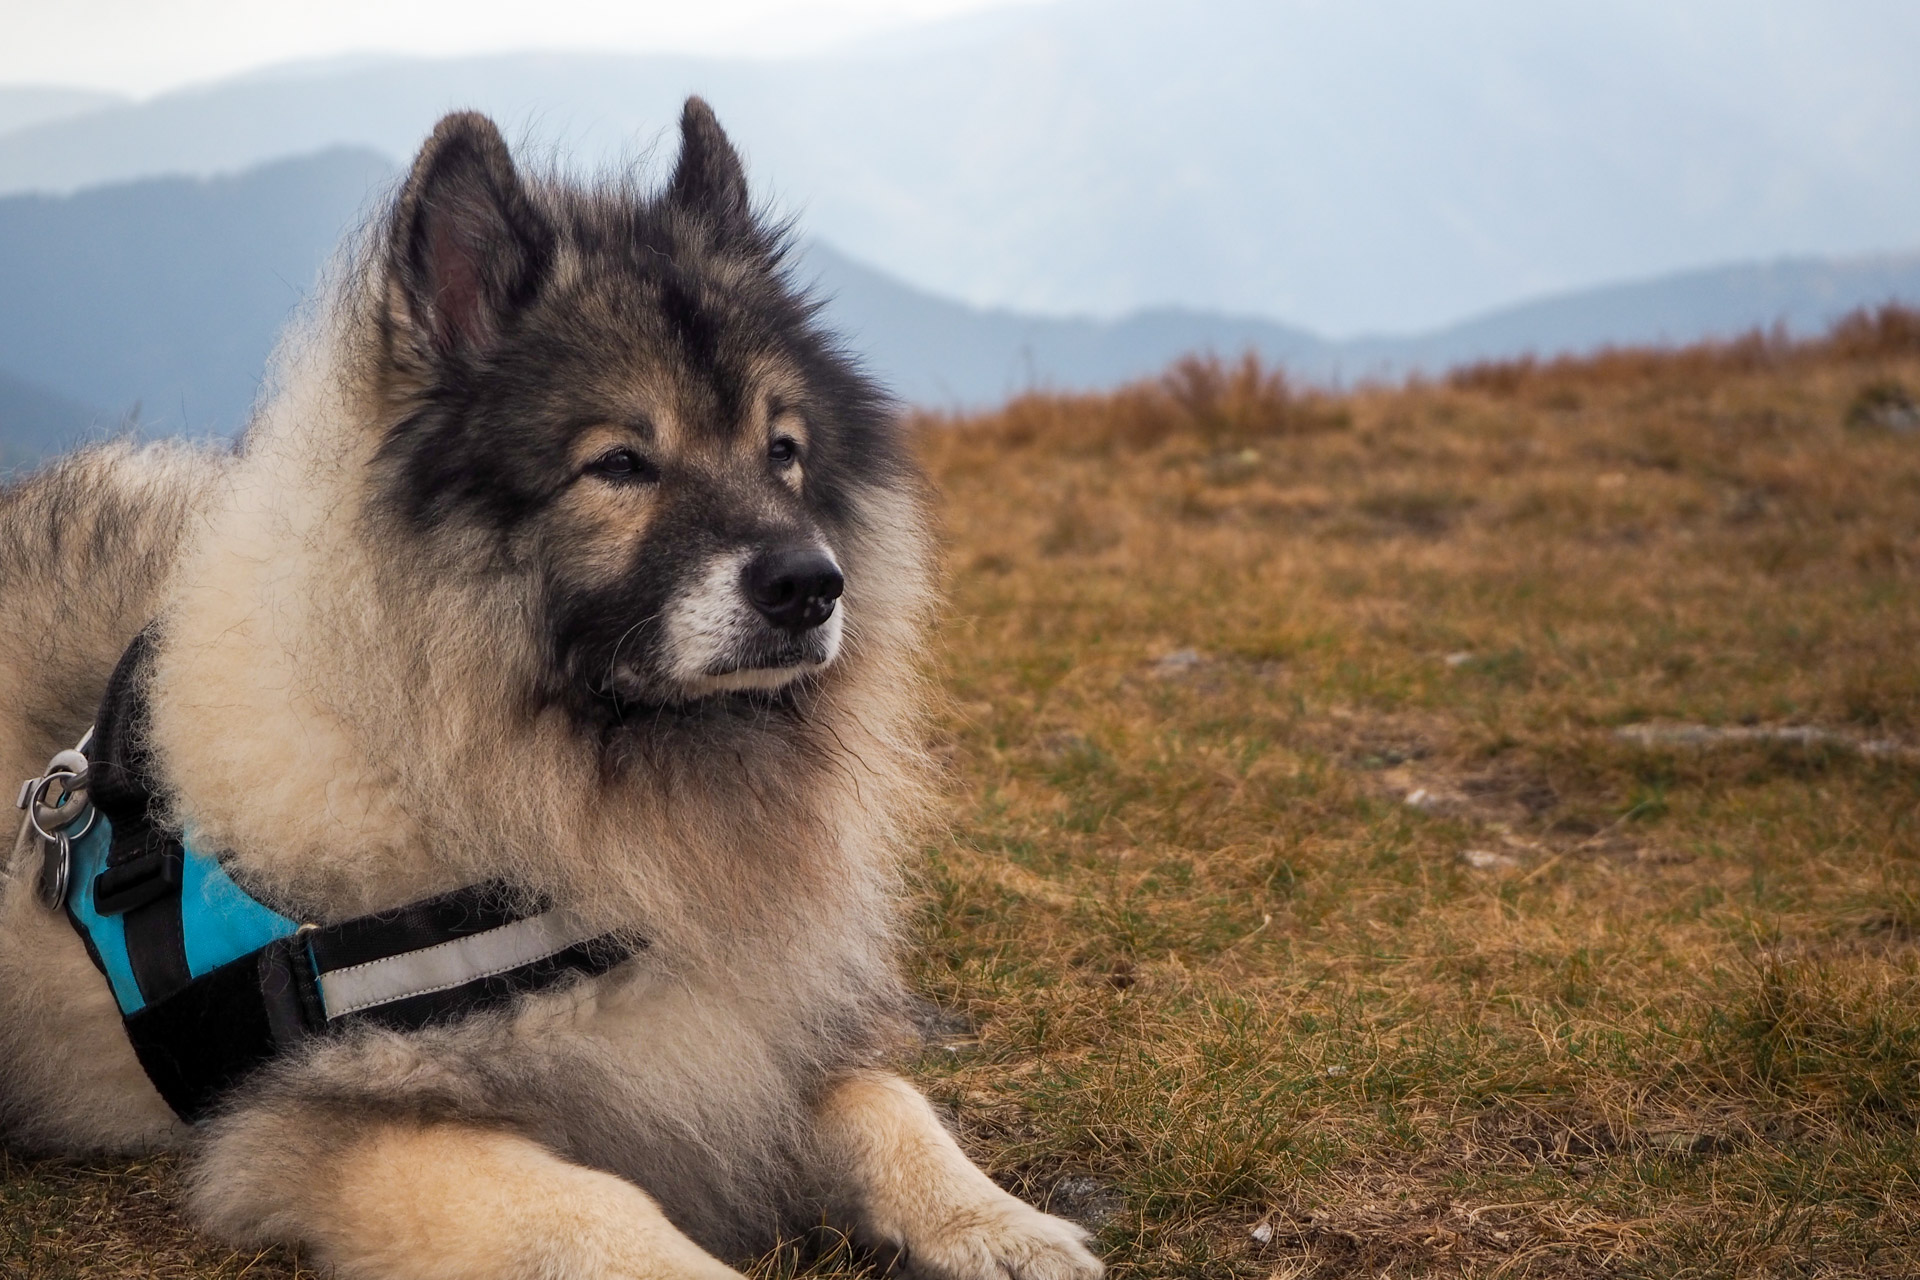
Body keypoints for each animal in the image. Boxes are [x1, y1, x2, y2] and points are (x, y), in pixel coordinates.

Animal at [0, 100, 1105, 1280]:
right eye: (619, 463)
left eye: (783, 450)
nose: (812, 584)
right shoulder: (331, 1127)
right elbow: (588, 1208)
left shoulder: (750, 1046)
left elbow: (888, 1100)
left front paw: (996, 1221)